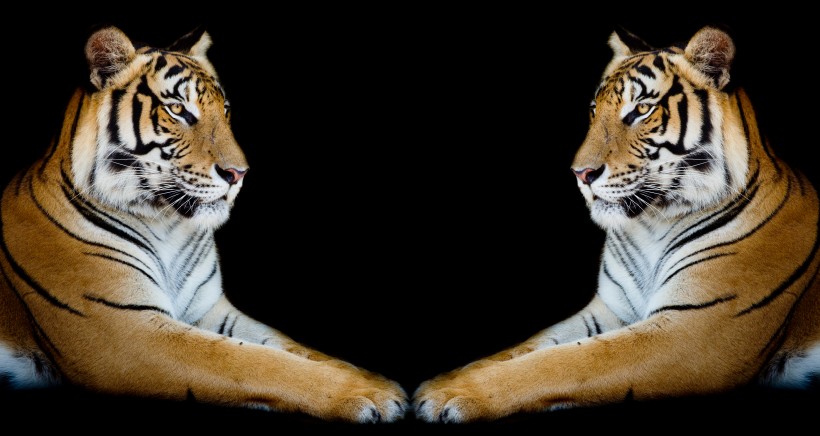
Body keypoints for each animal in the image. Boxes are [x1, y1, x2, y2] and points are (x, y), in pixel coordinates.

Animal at [0, 25, 408, 423]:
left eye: (225, 111)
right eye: (178, 110)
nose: (239, 174)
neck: (165, 224)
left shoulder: (210, 310)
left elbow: (293, 347)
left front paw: (376, 380)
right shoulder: (123, 330)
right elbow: (252, 361)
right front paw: (369, 394)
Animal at [412, 25, 820, 423]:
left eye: (641, 110)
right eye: (594, 110)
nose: (580, 174)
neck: (654, 224)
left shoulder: (696, 329)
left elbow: (569, 360)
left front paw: (451, 394)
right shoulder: (609, 309)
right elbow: (527, 346)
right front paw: (444, 379)